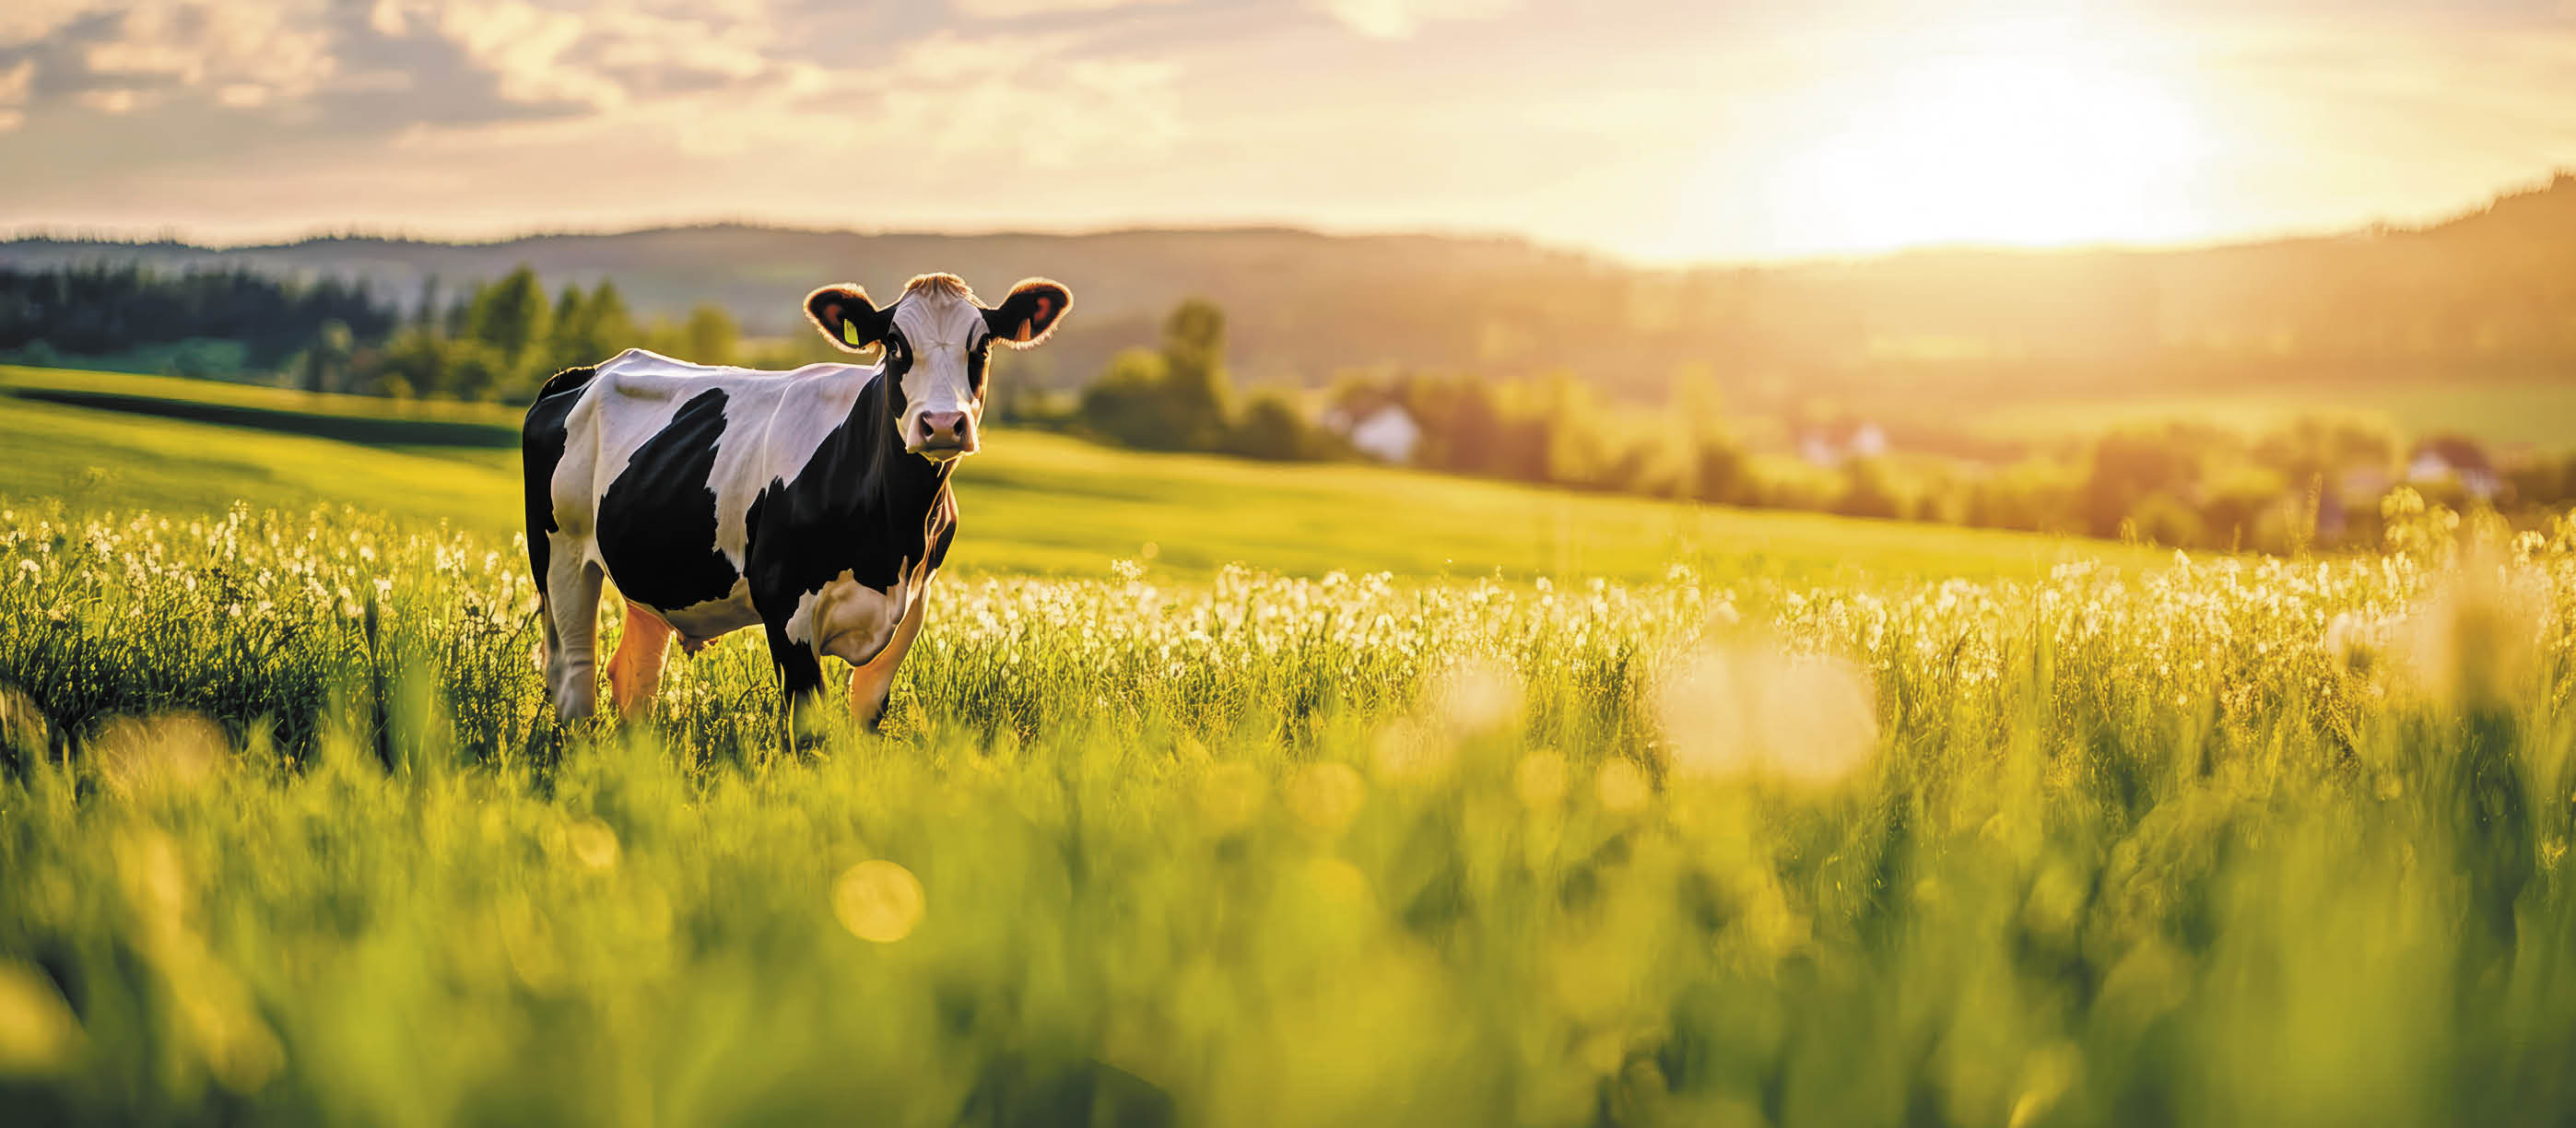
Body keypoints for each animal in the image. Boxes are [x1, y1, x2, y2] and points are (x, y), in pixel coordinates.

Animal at [521, 273, 1071, 731]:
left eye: (982, 344)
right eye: (895, 345)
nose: (941, 424)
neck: (894, 532)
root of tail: (587, 371)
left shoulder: (910, 609)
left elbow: (866, 720)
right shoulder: (785, 605)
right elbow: (808, 732)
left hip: (650, 576)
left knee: (635, 679)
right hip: (560, 556)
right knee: (574, 676)